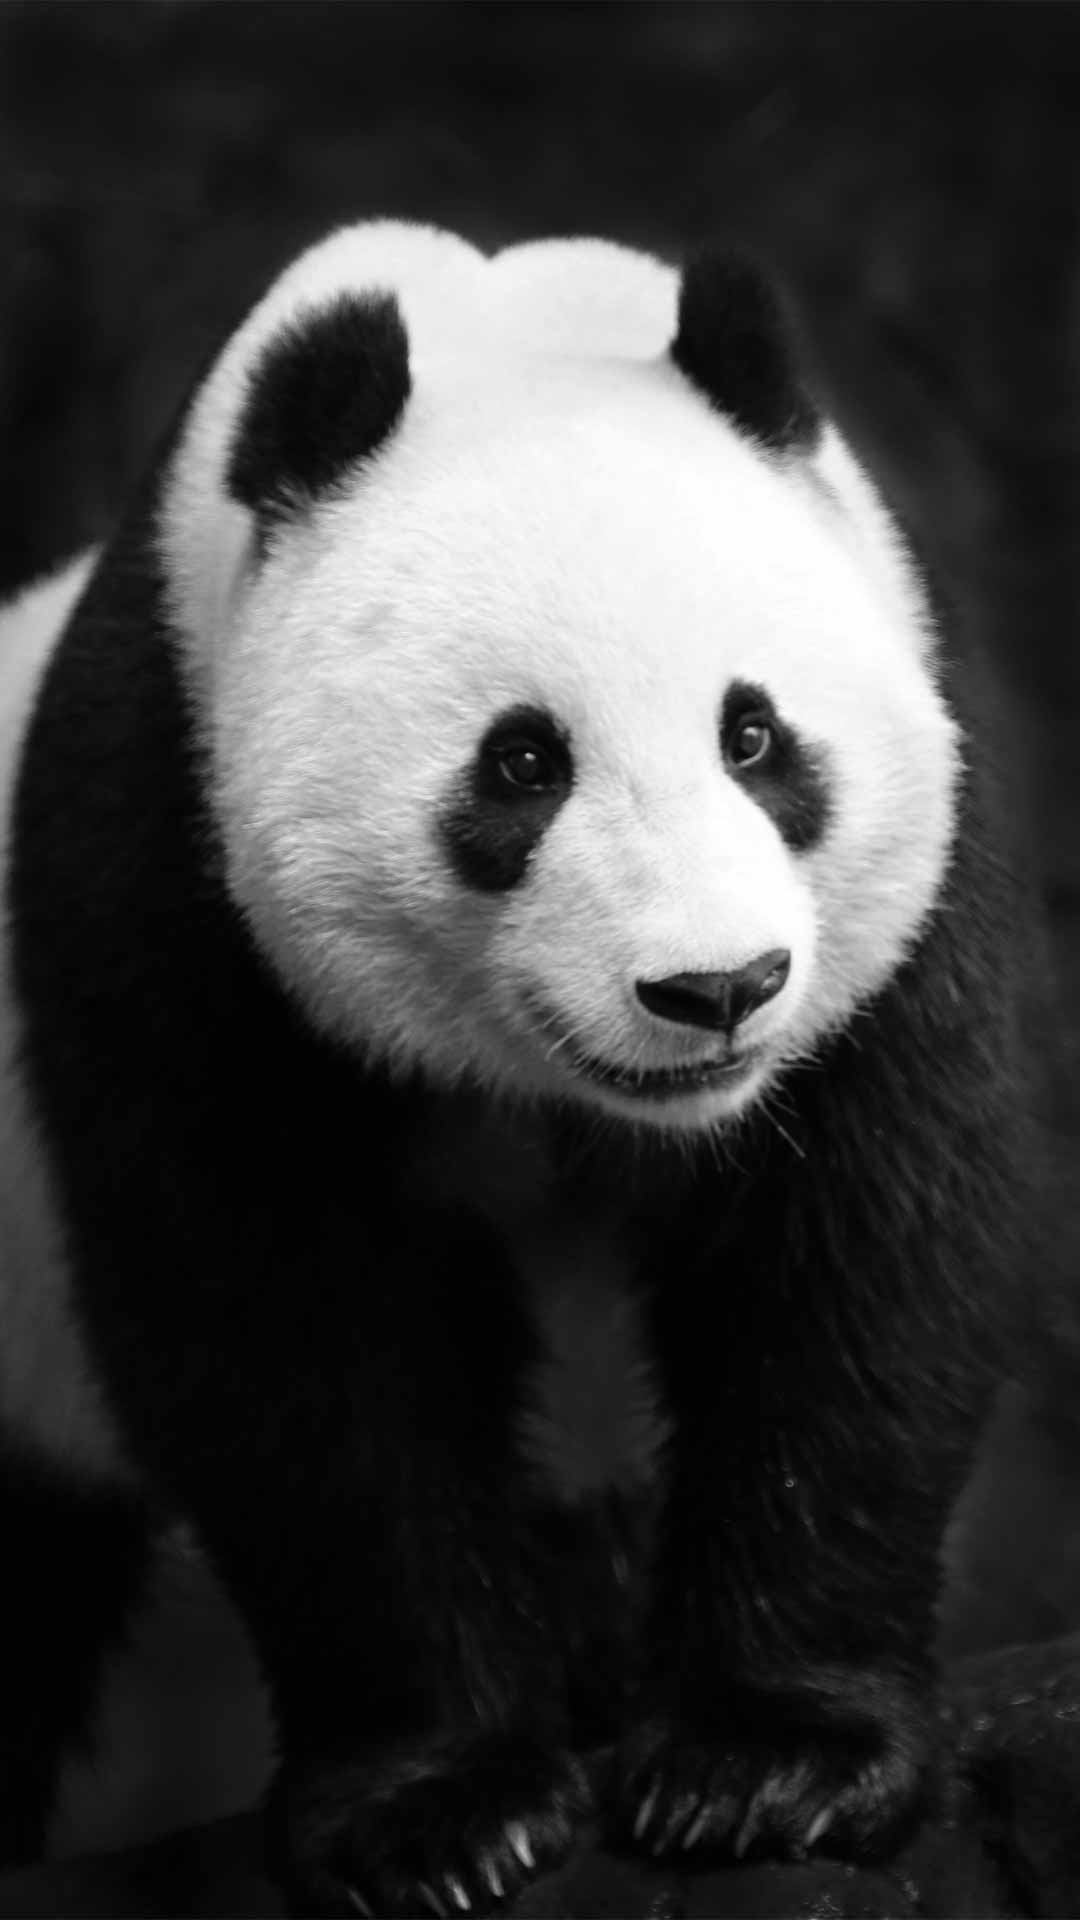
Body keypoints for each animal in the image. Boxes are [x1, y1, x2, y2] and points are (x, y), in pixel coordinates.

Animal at [0, 220, 1033, 1914]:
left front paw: (771, 1764)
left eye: (757, 737)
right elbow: (281, 1323)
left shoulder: (915, 869)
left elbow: (865, 1260)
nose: (715, 991)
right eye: (523, 762)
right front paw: (443, 1814)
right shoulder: (164, 854)